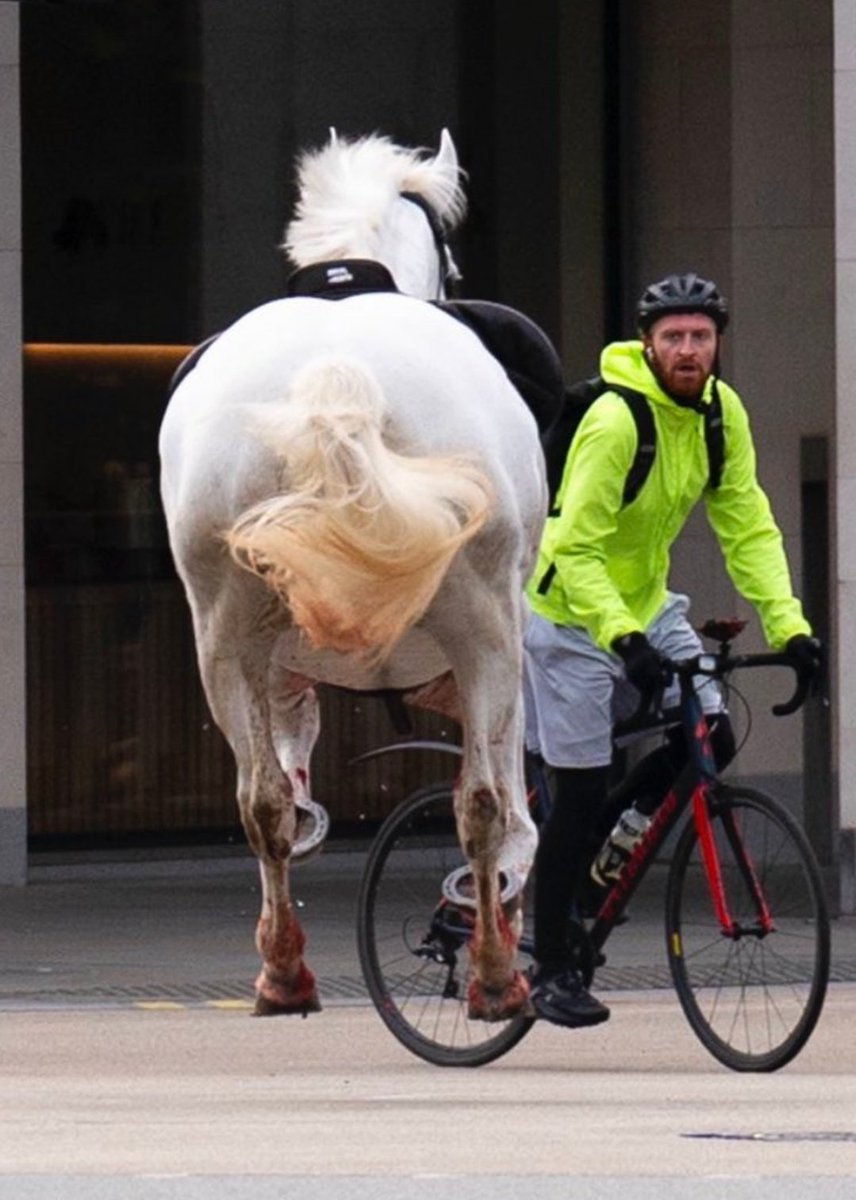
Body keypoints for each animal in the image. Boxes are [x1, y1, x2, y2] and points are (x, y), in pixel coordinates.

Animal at [158, 129, 547, 1012]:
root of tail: (337, 373)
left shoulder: (278, 654)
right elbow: (508, 786)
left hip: (224, 632)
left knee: (260, 801)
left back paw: (283, 969)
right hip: (482, 624)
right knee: (482, 801)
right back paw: (494, 971)